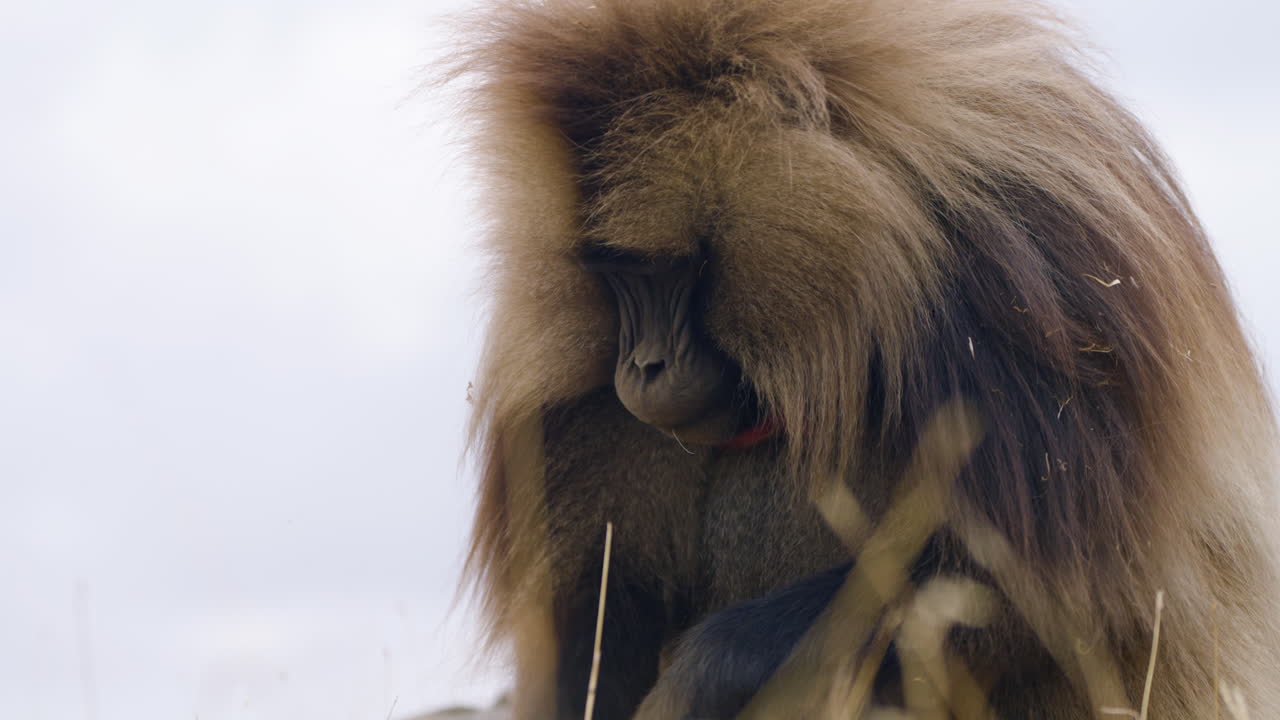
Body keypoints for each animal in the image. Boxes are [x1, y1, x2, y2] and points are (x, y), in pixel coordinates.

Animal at [450, 0, 1280, 718]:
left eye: (669, 273)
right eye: (615, 274)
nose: (642, 367)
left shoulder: (1017, 292)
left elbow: (1046, 595)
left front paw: (692, 685)